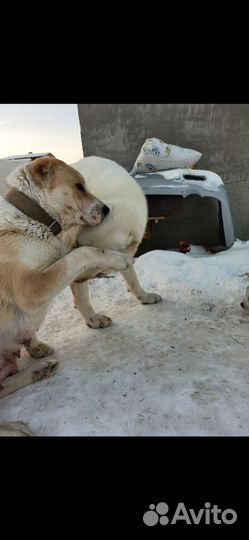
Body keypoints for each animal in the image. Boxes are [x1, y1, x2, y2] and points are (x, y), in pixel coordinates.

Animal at [0, 156, 134, 434]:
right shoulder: (32, 288)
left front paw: (36, 346)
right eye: (79, 186)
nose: (106, 210)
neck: (30, 219)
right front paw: (119, 259)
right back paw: (14, 428)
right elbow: (85, 252)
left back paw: (38, 372)